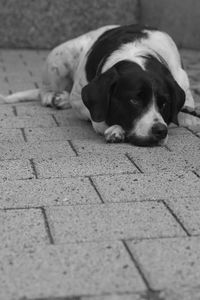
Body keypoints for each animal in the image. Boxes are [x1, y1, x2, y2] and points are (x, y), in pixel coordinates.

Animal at [0, 24, 199, 146]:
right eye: (134, 100)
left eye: (164, 103)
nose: (160, 131)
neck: (135, 50)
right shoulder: (81, 99)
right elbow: (98, 117)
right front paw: (116, 129)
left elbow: (184, 115)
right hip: (61, 55)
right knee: (44, 90)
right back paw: (53, 96)